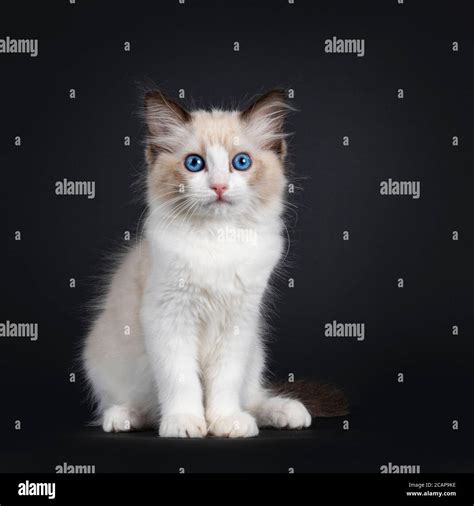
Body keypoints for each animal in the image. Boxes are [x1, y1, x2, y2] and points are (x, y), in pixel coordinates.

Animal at [81, 89, 312, 436]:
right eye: (194, 163)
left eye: (241, 162)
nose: (218, 186)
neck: (217, 240)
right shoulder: (168, 317)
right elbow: (181, 381)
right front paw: (185, 422)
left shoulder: (238, 322)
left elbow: (225, 382)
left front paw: (226, 422)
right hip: (108, 362)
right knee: (137, 407)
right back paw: (124, 417)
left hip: (254, 352)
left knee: (253, 400)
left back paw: (285, 411)